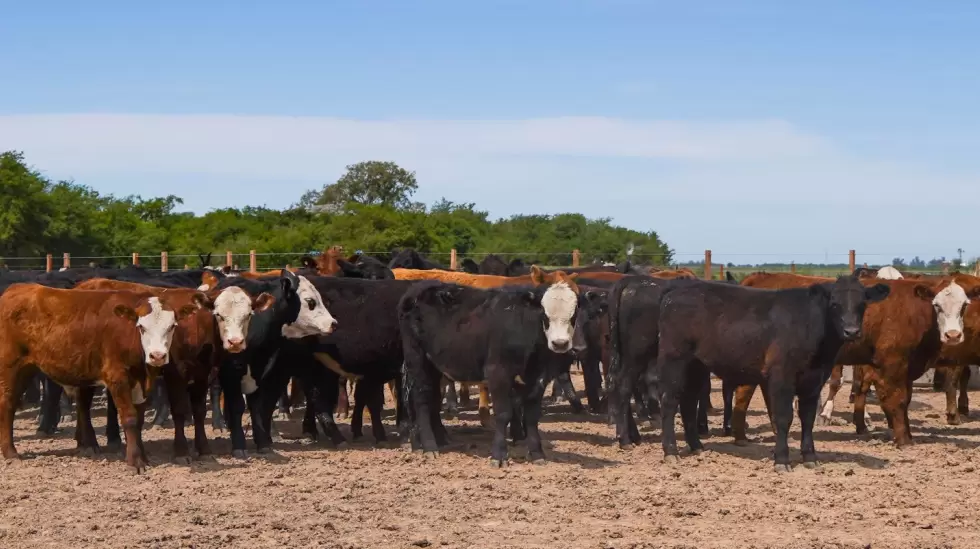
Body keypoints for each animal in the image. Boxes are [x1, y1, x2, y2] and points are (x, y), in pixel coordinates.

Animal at [0, 282, 212, 470]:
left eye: (172, 326)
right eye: (141, 327)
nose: (157, 356)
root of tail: (14, 289)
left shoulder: (141, 383)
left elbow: (139, 420)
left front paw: (142, 456)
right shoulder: (117, 378)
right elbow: (129, 417)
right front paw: (135, 462)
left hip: (29, 368)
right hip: (11, 366)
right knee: (7, 403)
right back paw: (11, 452)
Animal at [656, 276, 892, 468]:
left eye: (862, 304)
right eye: (834, 304)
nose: (852, 331)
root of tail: (675, 293)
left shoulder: (814, 380)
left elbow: (807, 418)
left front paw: (810, 457)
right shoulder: (782, 376)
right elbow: (783, 417)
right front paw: (782, 459)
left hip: (698, 365)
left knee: (688, 402)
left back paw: (696, 446)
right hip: (674, 359)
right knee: (669, 401)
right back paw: (671, 452)